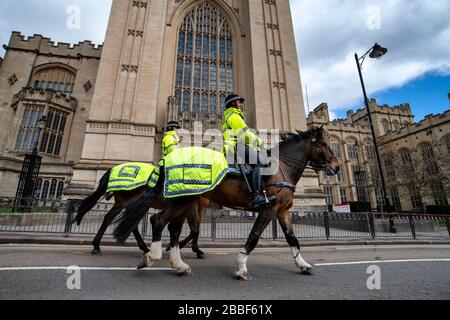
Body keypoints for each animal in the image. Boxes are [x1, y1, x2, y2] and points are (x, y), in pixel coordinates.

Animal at [71, 170, 209, 258]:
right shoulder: (190, 207)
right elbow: (194, 230)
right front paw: (177, 246)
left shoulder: (197, 209)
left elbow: (194, 230)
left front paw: (195, 249)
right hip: (129, 202)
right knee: (129, 223)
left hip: (122, 203)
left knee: (110, 218)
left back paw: (97, 246)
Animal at [114, 126, 340, 278]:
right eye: (323, 145)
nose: (337, 166)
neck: (282, 166)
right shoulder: (269, 208)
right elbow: (254, 237)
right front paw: (240, 266)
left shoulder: (283, 211)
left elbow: (292, 239)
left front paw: (303, 264)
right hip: (185, 200)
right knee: (159, 221)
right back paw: (153, 256)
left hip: (186, 201)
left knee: (172, 227)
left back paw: (177, 263)